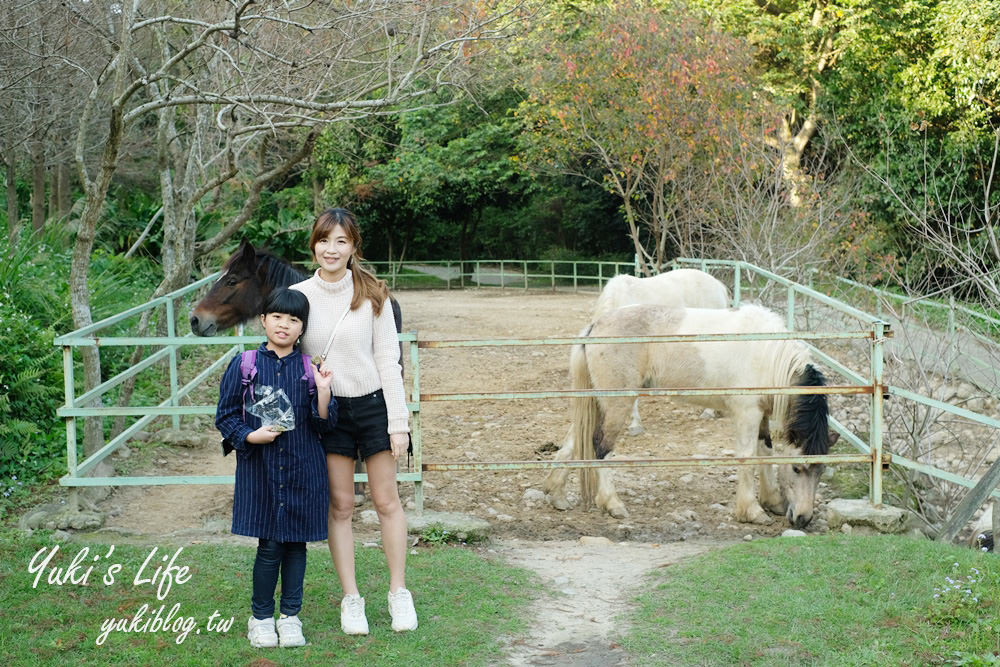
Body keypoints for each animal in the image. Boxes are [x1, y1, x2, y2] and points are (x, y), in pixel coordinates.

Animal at [544, 302, 840, 528]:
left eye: (821, 471)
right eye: (797, 469)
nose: (803, 519)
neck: (769, 355)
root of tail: (595, 327)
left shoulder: (762, 415)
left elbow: (765, 451)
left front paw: (773, 502)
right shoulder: (747, 414)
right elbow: (748, 458)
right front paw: (753, 511)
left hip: (598, 403)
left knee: (575, 439)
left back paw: (557, 495)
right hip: (617, 405)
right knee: (600, 447)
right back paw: (612, 503)